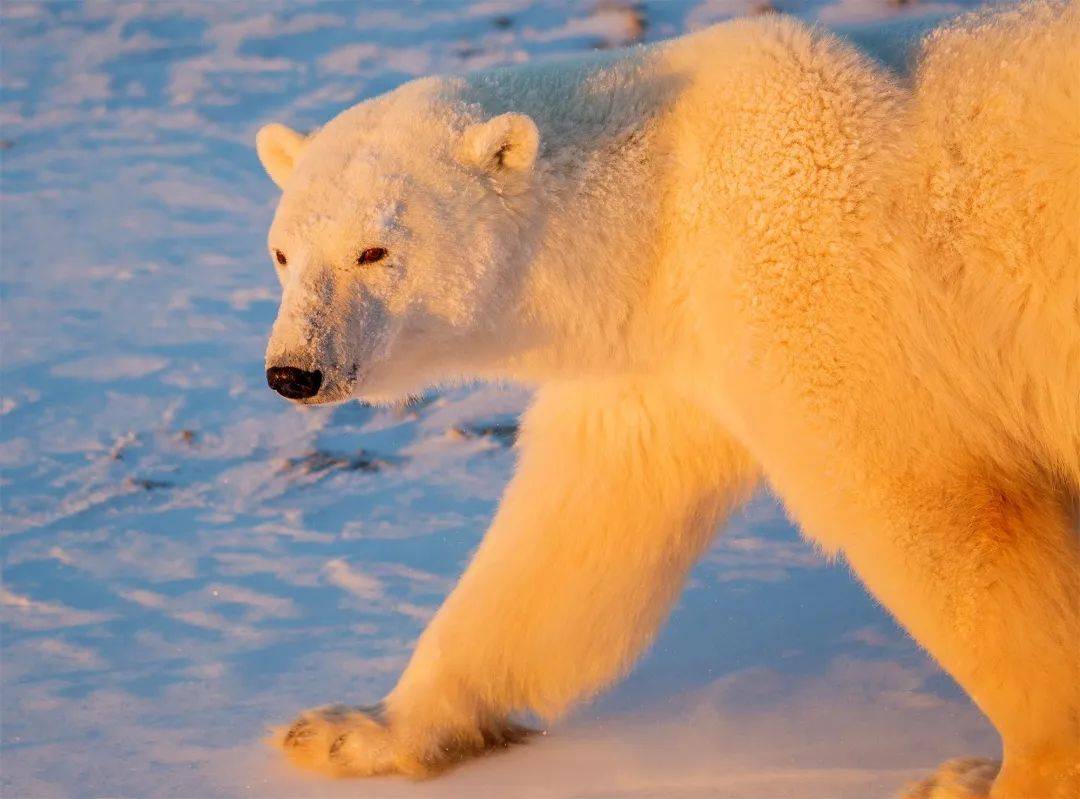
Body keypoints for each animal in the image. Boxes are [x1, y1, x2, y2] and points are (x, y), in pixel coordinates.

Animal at [254, 3, 1080, 794]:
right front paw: (349, 729)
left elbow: (942, 502)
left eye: (374, 251)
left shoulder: (817, 276)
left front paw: (1016, 770)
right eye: (284, 253)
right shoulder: (667, 349)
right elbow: (577, 524)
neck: (665, 198)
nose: (294, 370)